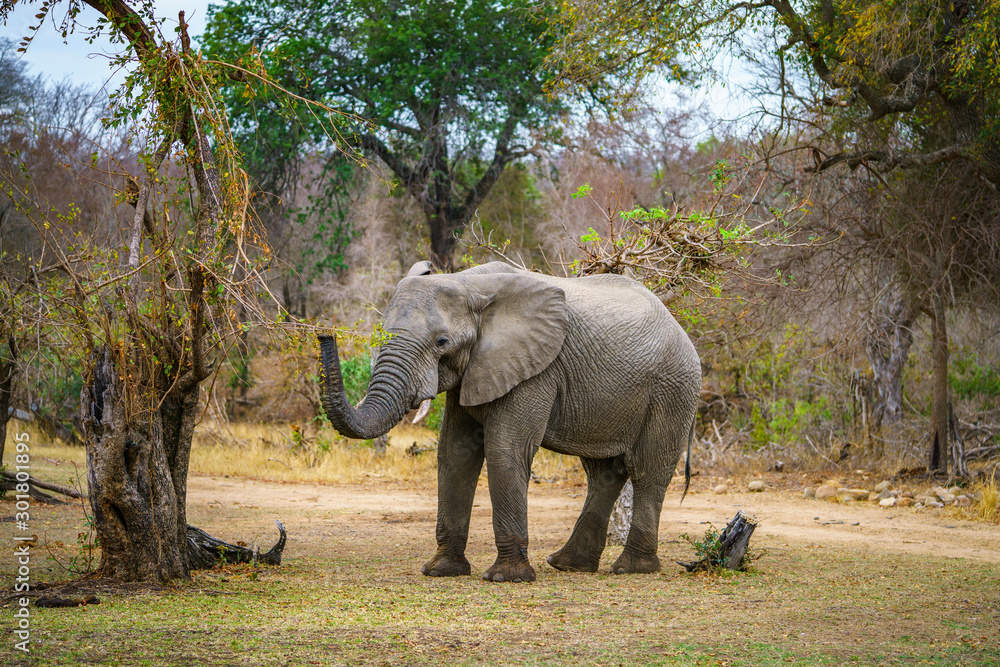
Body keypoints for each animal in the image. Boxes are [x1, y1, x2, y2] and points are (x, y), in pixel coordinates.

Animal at [318, 261, 701, 583]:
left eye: (442, 342)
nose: (324, 333)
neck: (469, 283)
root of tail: (679, 327)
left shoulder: (535, 369)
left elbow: (506, 449)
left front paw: (506, 578)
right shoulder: (476, 369)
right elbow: (454, 453)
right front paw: (441, 571)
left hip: (672, 387)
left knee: (647, 470)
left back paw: (631, 568)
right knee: (604, 472)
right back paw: (567, 564)